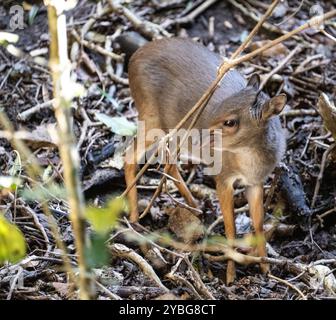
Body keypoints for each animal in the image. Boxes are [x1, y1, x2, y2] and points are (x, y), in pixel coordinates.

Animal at [123, 36, 286, 284]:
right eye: (220, 105)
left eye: (230, 122)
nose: (200, 136)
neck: (250, 161)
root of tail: (135, 57)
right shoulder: (223, 178)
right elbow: (230, 228)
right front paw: (230, 276)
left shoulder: (255, 183)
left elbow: (258, 224)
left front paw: (266, 268)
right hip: (151, 117)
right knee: (129, 156)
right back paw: (135, 219)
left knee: (167, 161)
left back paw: (194, 206)